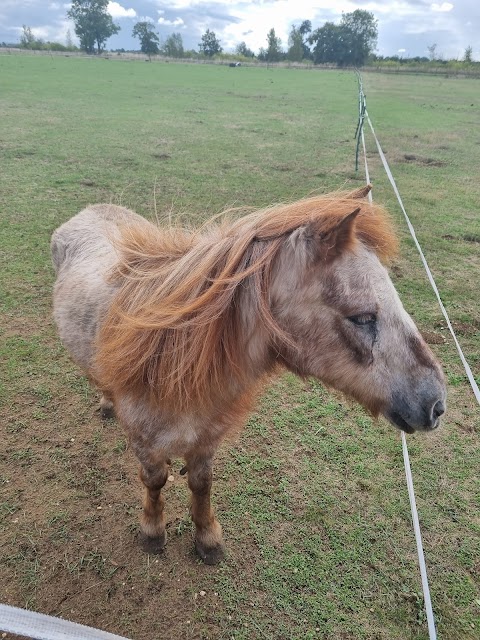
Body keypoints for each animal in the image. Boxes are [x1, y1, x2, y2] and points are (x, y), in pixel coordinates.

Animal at [50, 186, 444, 564]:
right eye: (362, 317)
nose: (436, 403)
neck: (171, 357)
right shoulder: (143, 438)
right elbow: (155, 480)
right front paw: (152, 531)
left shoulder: (207, 437)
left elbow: (201, 483)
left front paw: (208, 538)